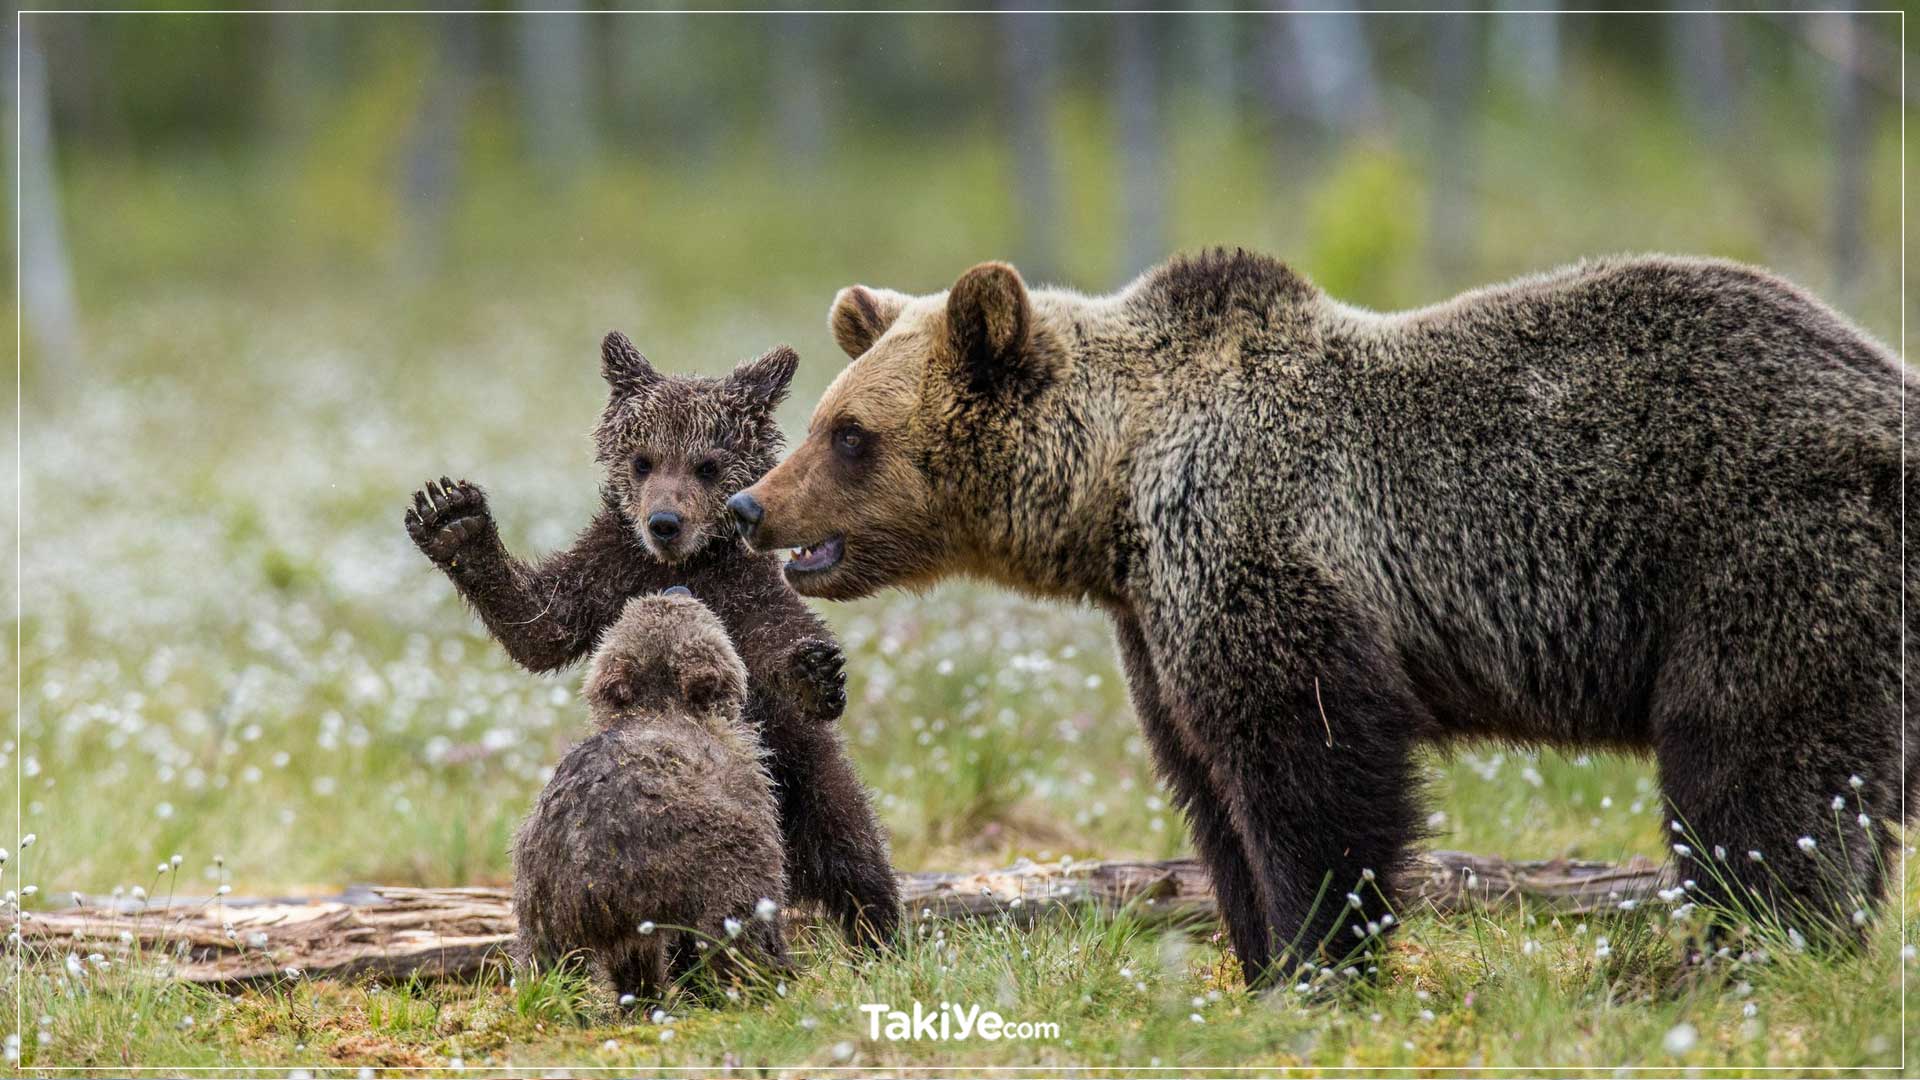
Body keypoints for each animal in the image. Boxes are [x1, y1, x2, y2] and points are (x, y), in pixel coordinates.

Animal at [725, 247, 1912, 980]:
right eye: (823, 417)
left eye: (849, 435)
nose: (750, 506)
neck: (1118, 492)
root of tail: (1887, 388)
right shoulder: (1155, 620)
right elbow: (1207, 782)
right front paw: (1257, 959)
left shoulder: (1264, 545)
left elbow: (1311, 768)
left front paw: (1320, 960)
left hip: (1761, 552)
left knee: (1751, 766)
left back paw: (1753, 948)